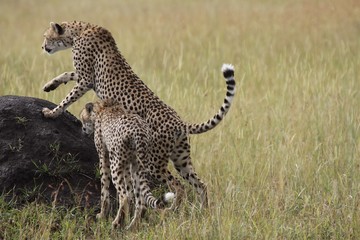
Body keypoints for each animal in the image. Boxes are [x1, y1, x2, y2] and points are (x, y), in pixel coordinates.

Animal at [41, 21, 236, 208]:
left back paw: (172, 210)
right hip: (181, 160)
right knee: (201, 185)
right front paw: (50, 85)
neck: (80, 30)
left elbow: (68, 98)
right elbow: (67, 73)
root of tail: (180, 122)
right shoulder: (85, 77)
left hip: (154, 161)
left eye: (46, 36)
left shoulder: (86, 80)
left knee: (178, 187)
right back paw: (204, 212)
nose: (43, 47)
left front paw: (51, 113)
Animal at [80, 100, 174, 229]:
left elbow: (105, 189)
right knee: (141, 202)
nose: (83, 129)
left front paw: (102, 215)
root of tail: (139, 131)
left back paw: (116, 223)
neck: (103, 108)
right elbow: (129, 191)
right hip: (137, 167)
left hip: (115, 164)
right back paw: (132, 226)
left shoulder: (104, 158)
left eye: (82, 118)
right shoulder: (127, 165)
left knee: (123, 196)